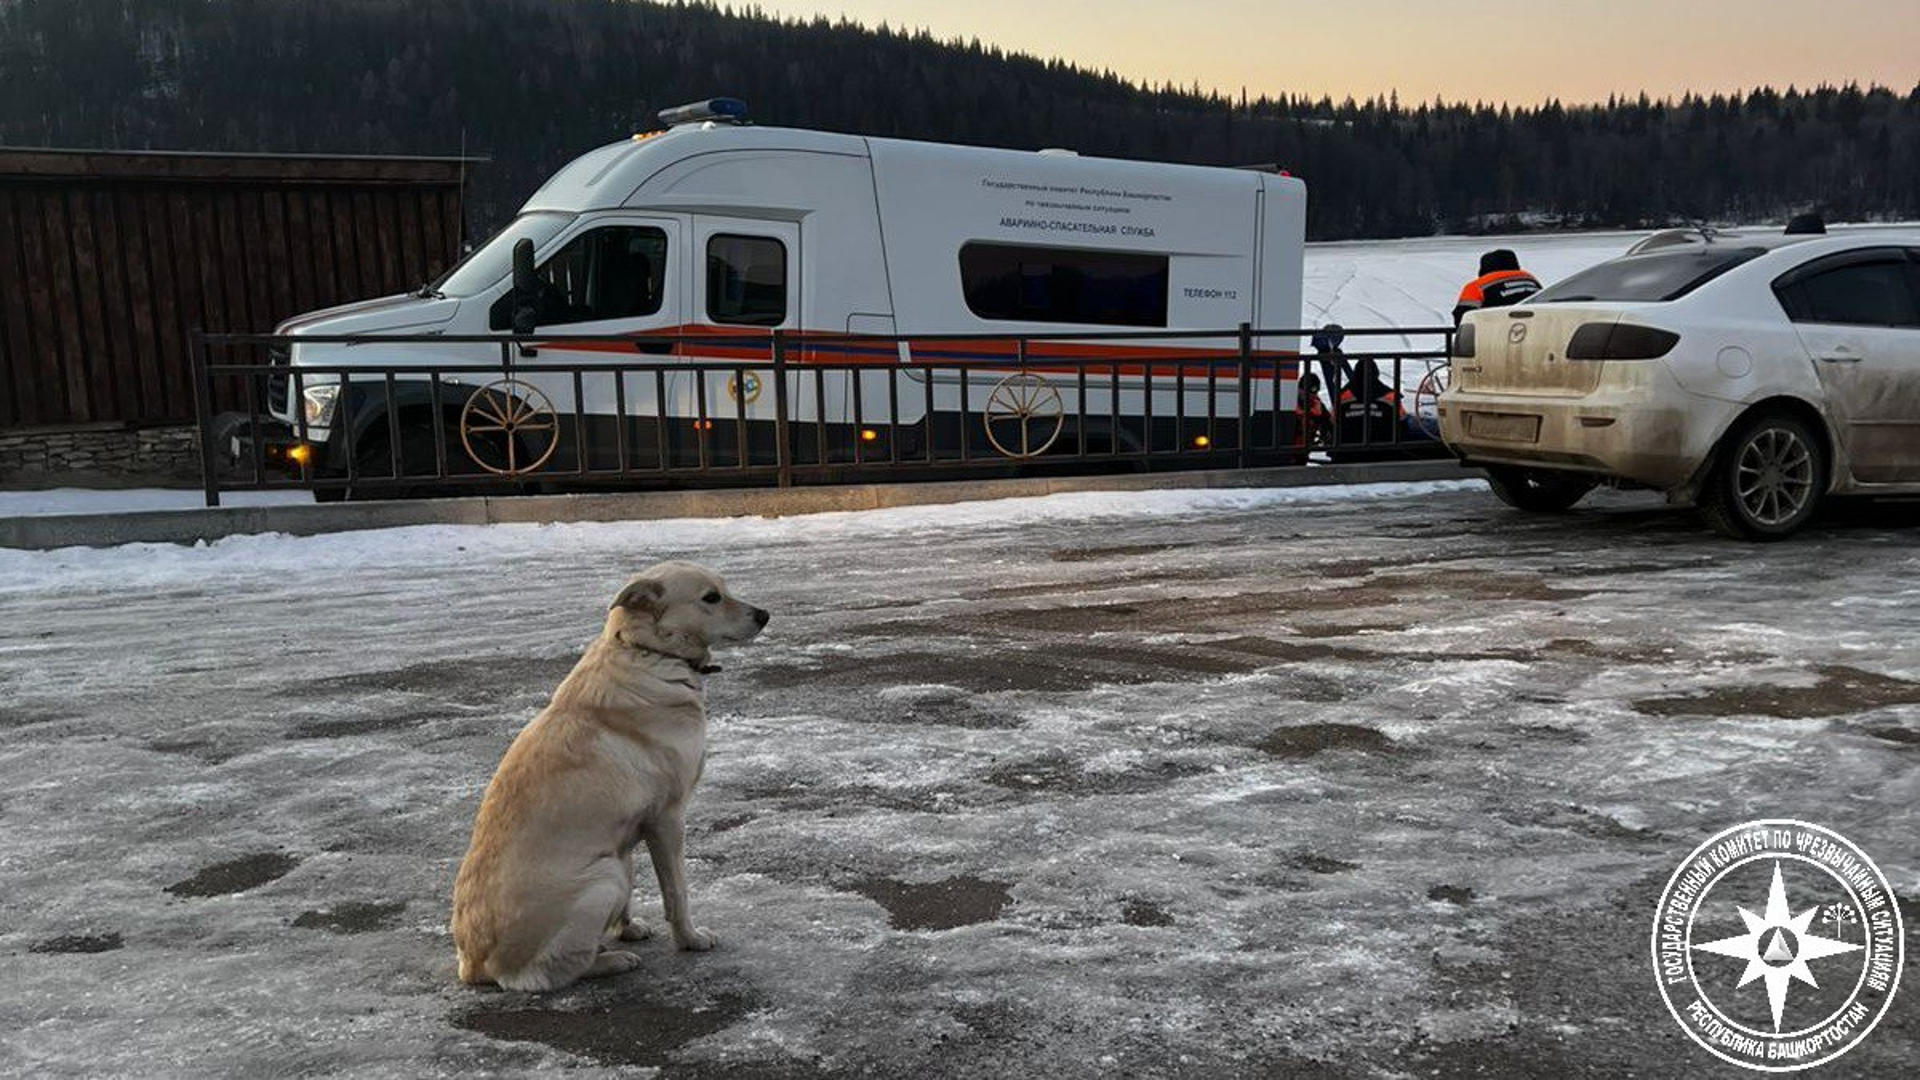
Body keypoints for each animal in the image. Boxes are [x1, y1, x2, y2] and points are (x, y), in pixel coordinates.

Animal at [453, 557, 768, 991]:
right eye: (711, 597)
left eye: (725, 589)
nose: (765, 615)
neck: (648, 651)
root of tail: (474, 965)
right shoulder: (668, 818)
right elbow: (677, 893)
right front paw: (689, 939)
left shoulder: (628, 832)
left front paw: (628, 927)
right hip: (605, 877)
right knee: (548, 973)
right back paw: (612, 960)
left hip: (613, 864)